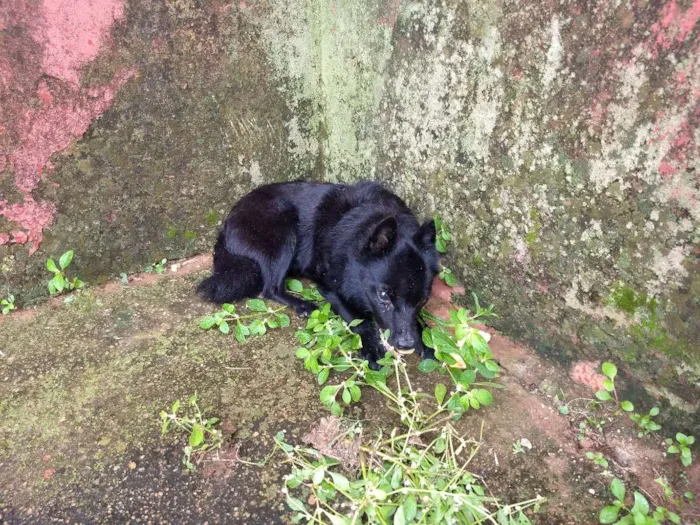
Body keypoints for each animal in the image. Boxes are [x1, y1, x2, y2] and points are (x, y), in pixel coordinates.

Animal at [197, 181, 438, 368]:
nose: (406, 344)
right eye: (383, 296)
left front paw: (427, 341)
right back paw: (302, 305)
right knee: (270, 288)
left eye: (424, 299)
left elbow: (417, 322)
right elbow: (359, 320)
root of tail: (225, 227)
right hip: (282, 232)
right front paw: (371, 348)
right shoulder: (331, 290)